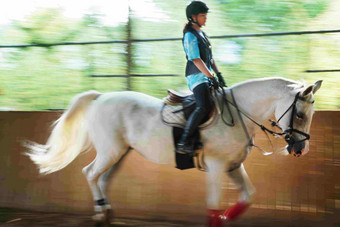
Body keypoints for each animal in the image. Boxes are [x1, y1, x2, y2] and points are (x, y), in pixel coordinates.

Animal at [25, 77, 320, 226]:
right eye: (300, 114)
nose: (300, 150)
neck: (237, 115)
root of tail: (100, 97)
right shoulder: (216, 166)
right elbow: (213, 206)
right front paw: (219, 217)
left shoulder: (233, 166)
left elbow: (248, 196)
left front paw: (228, 216)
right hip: (110, 151)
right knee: (90, 173)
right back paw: (99, 212)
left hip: (120, 153)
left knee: (103, 179)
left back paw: (106, 211)